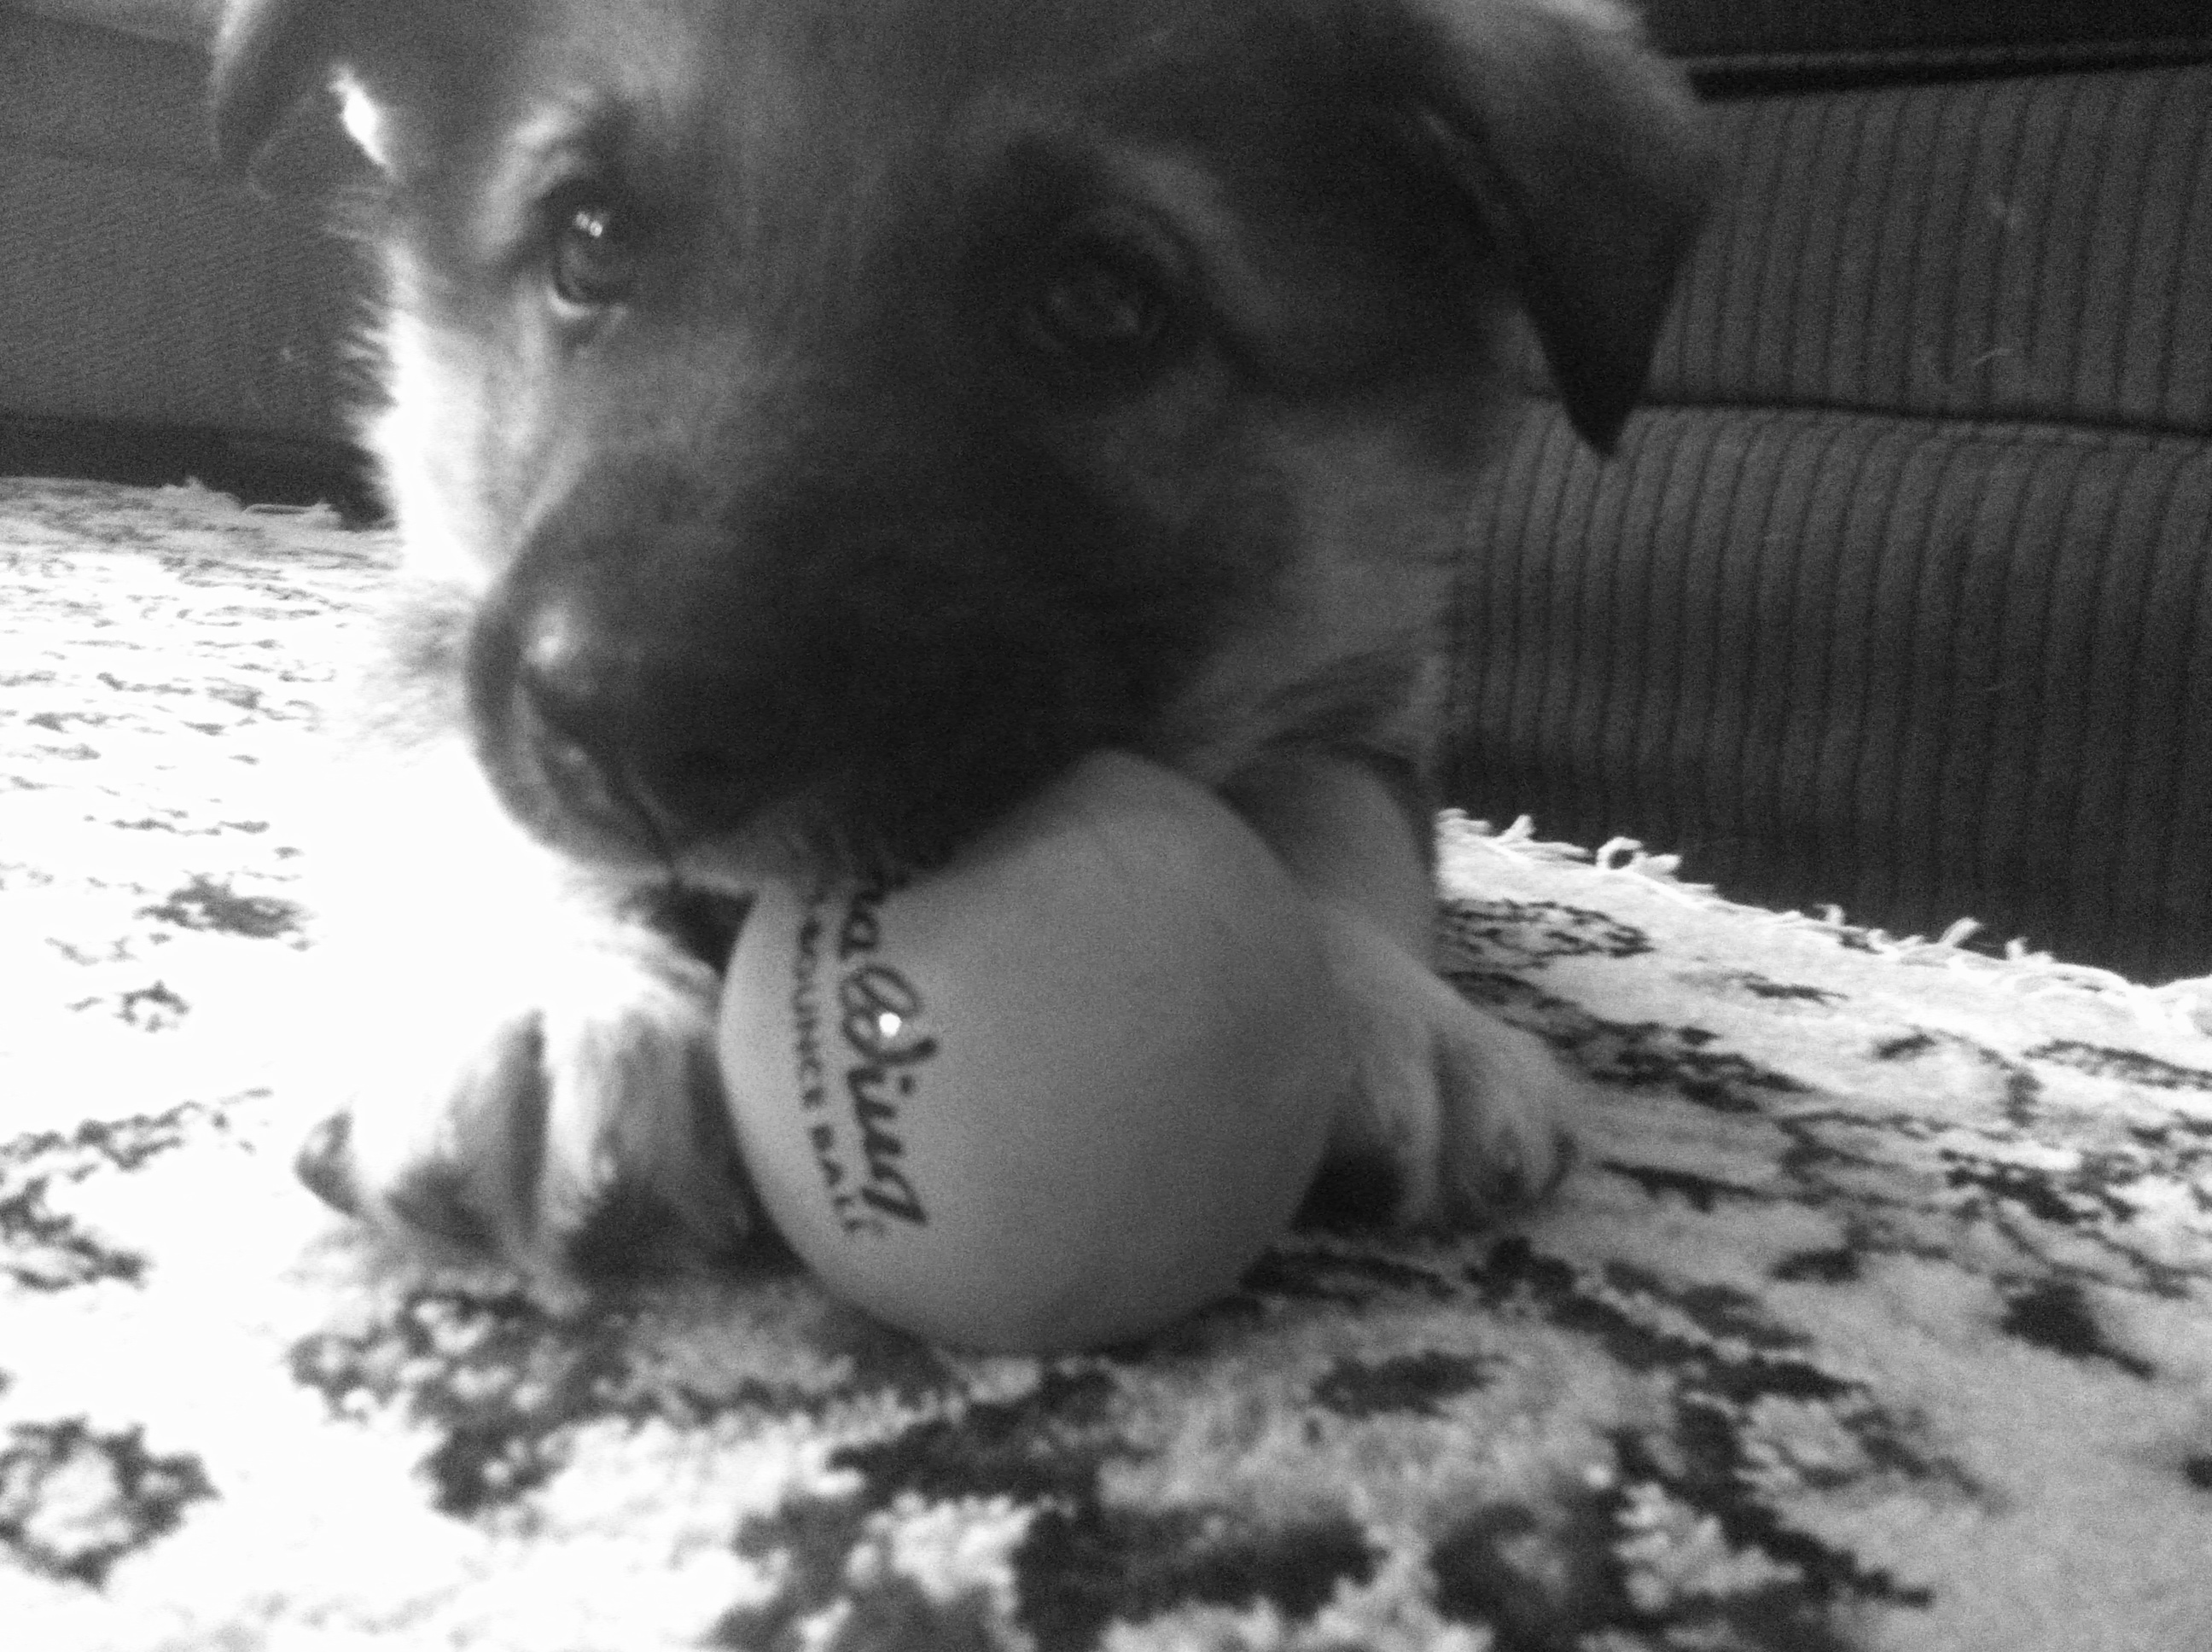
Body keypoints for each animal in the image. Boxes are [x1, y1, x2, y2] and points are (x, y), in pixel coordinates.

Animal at [215, 0, 1708, 1291]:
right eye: (587, 240)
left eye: (1102, 299)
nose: (633, 724)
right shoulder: (448, 622)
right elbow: (463, 790)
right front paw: (549, 994)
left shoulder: (1367, 697)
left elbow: (1334, 819)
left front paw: (1387, 1006)